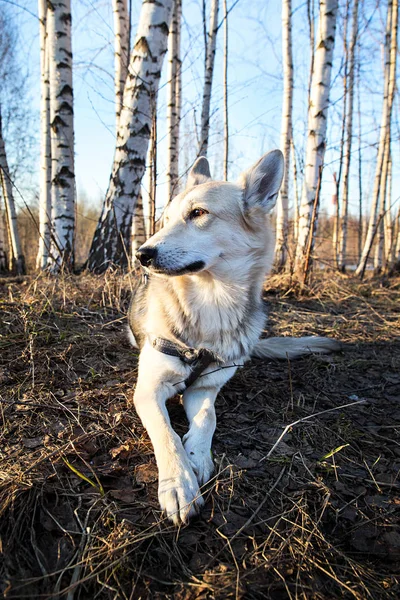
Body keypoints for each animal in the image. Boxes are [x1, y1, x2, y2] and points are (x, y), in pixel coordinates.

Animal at [127, 151, 338, 524]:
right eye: (165, 219)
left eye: (198, 213)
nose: (142, 254)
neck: (212, 302)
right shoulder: (148, 390)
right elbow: (167, 433)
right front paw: (178, 483)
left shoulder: (206, 388)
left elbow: (207, 418)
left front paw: (196, 456)